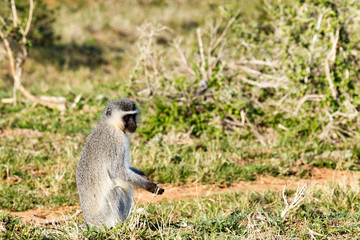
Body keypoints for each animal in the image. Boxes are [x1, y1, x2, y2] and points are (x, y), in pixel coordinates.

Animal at [77, 98, 166, 228]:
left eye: (133, 116)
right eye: (126, 117)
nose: (134, 124)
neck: (112, 126)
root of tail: (90, 223)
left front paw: (143, 175)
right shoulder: (116, 142)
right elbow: (118, 170)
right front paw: (150, 186)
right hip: (103, 217)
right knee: (116, 191)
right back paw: (120, 225)